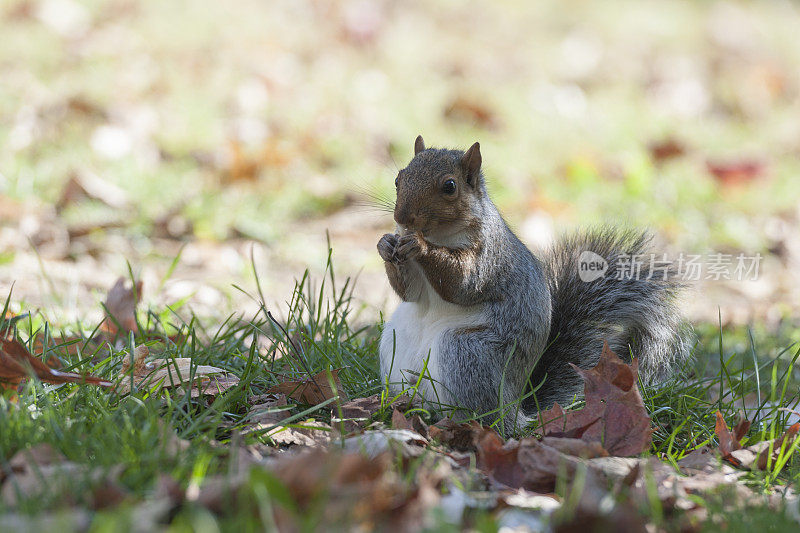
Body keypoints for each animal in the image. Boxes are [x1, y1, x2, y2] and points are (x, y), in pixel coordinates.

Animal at [376, 135, 688, 430]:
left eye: (450, 186)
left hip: (467, 353)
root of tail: (516, 411)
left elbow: (462, 283)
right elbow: (411, 293)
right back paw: (403, 404)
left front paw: (419, 245)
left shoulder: (489, 256)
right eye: (398, 178)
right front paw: (385, 244)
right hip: (395, 342)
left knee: (482, 415)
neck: (439, 236)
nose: (402, 217)